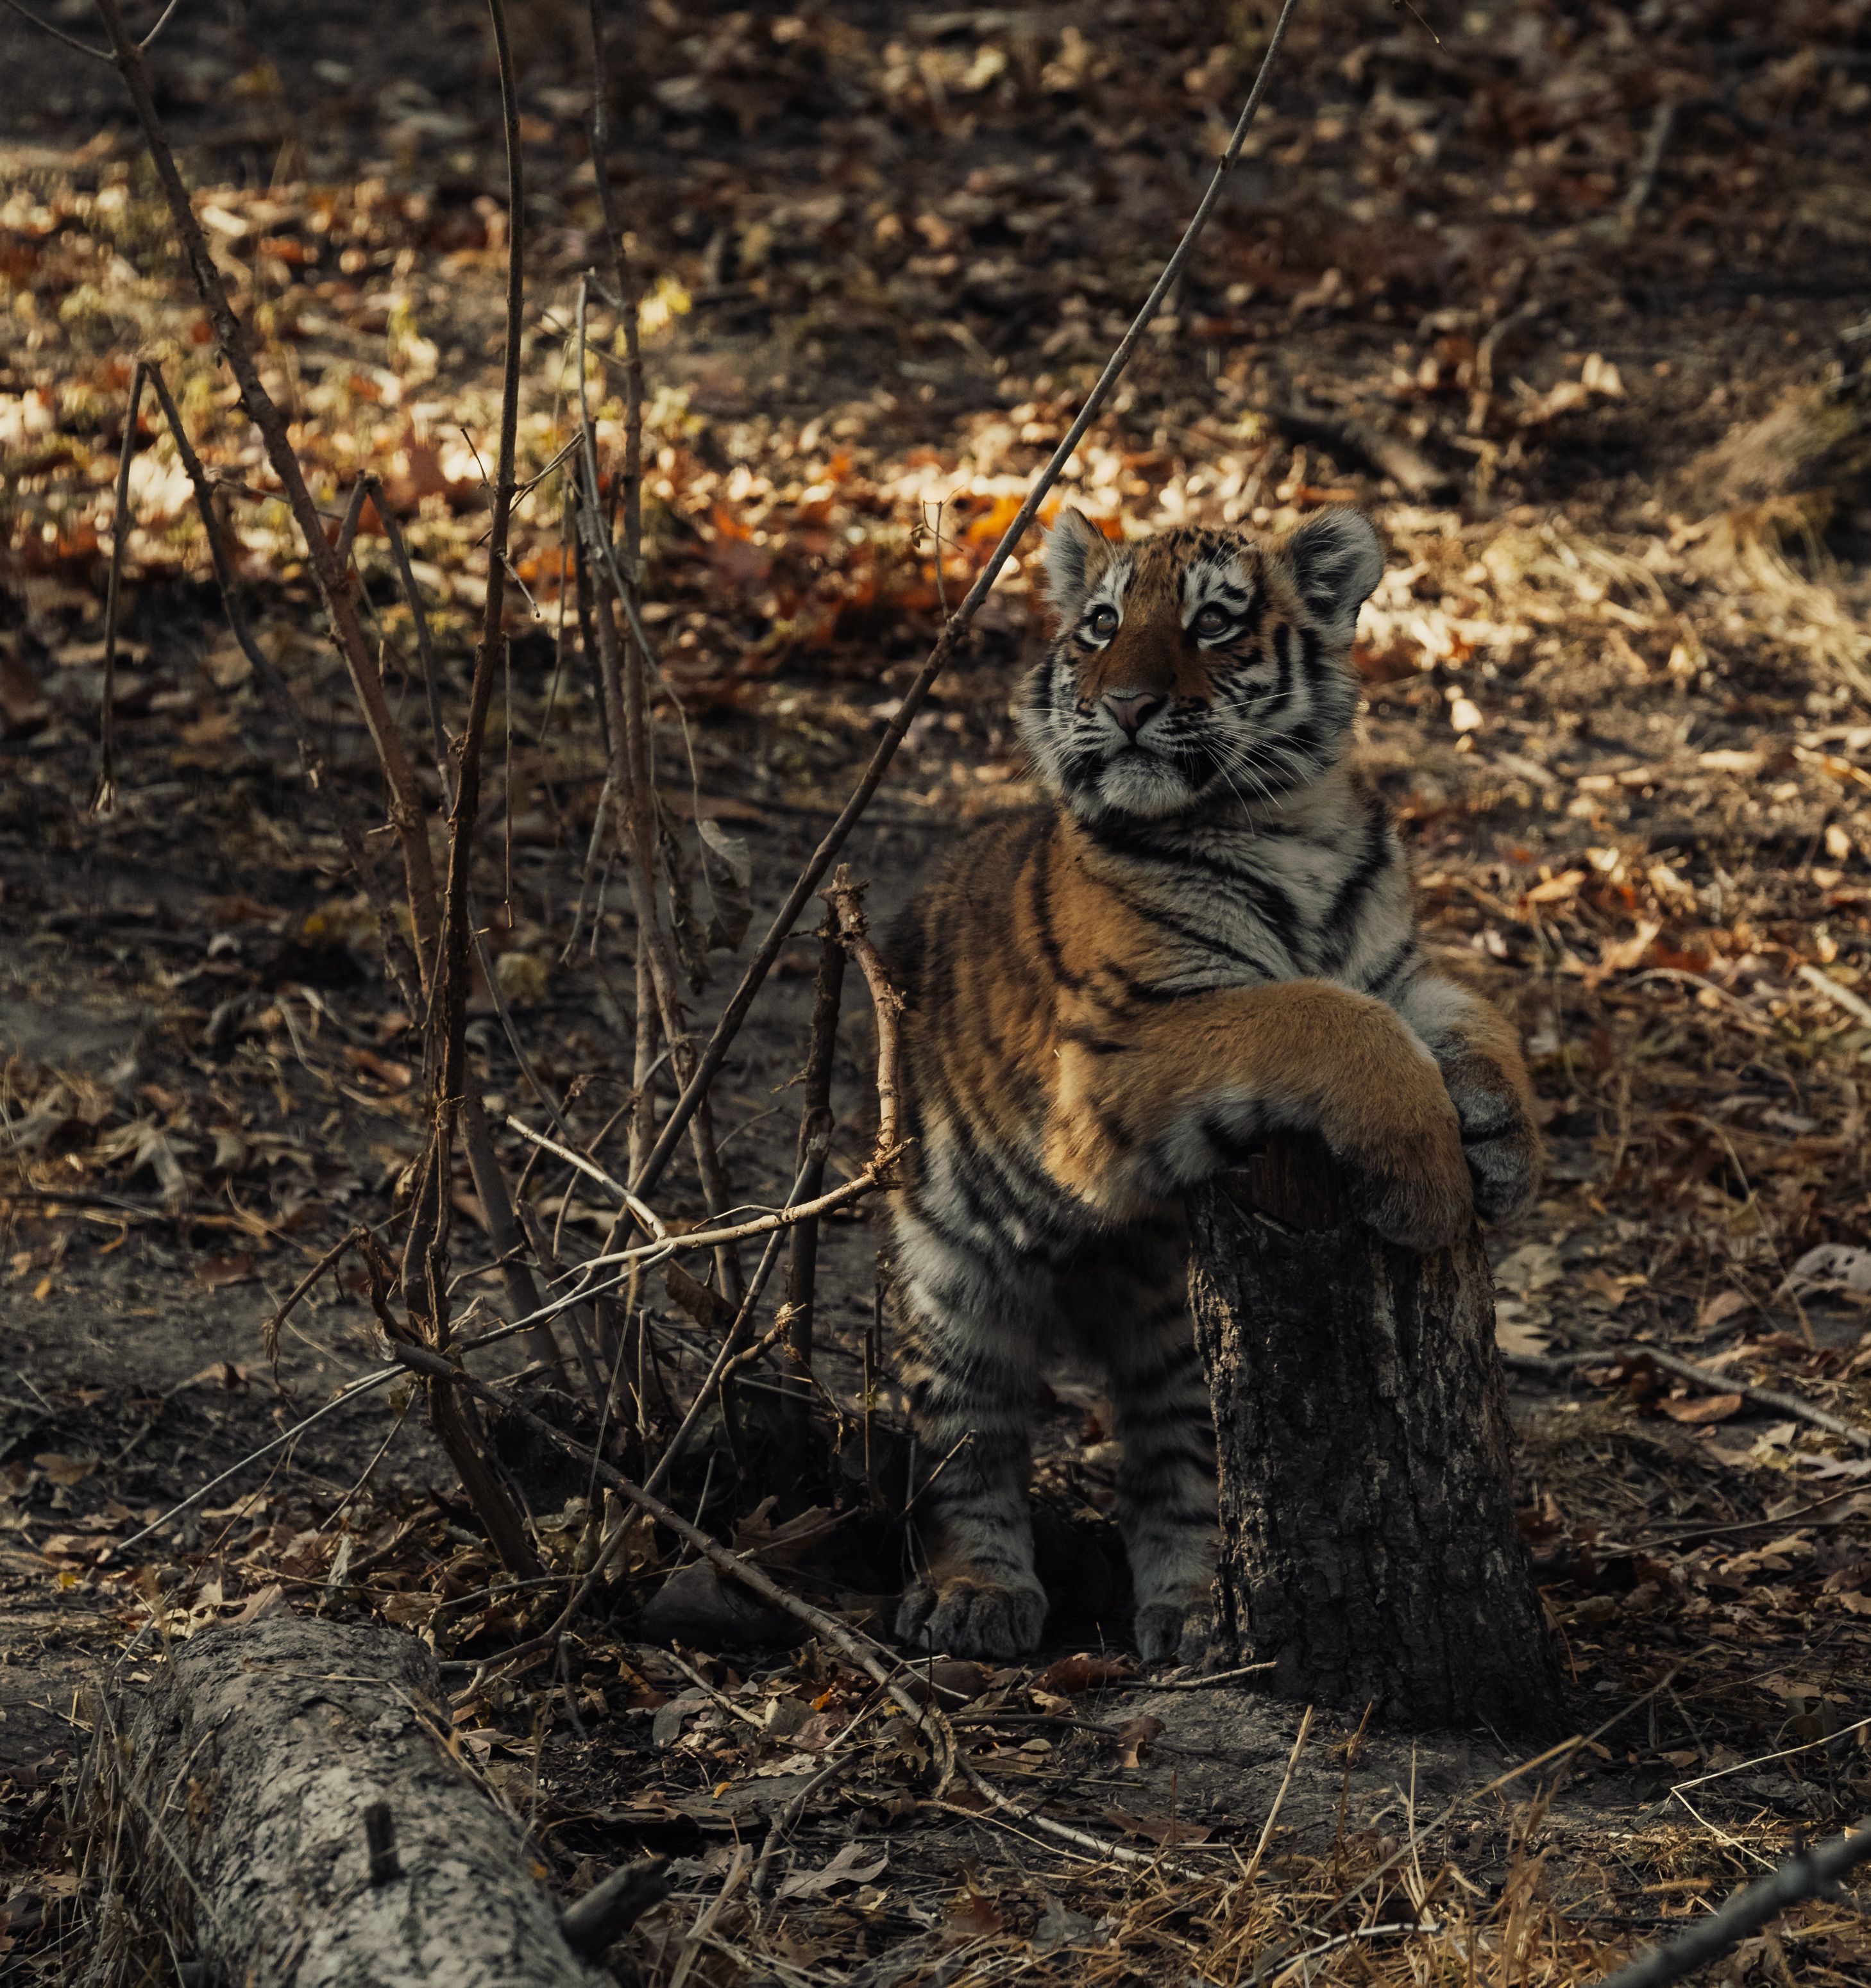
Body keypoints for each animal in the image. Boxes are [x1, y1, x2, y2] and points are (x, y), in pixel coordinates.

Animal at [882, 503, 1542, 1664]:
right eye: (1101, 626)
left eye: (1215, 624)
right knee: (966, 1442)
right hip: (953, 1280)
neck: (1293, 827)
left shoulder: (1394, 965)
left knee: (1181, 1466)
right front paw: (1427, 1188)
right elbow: (1319, 1017)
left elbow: (1470, 1014)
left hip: (1177, 1332)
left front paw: (1503, 1151)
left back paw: (1195, 1612)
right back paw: (974, 1595)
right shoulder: (1117, 1050)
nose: (1125, 705)